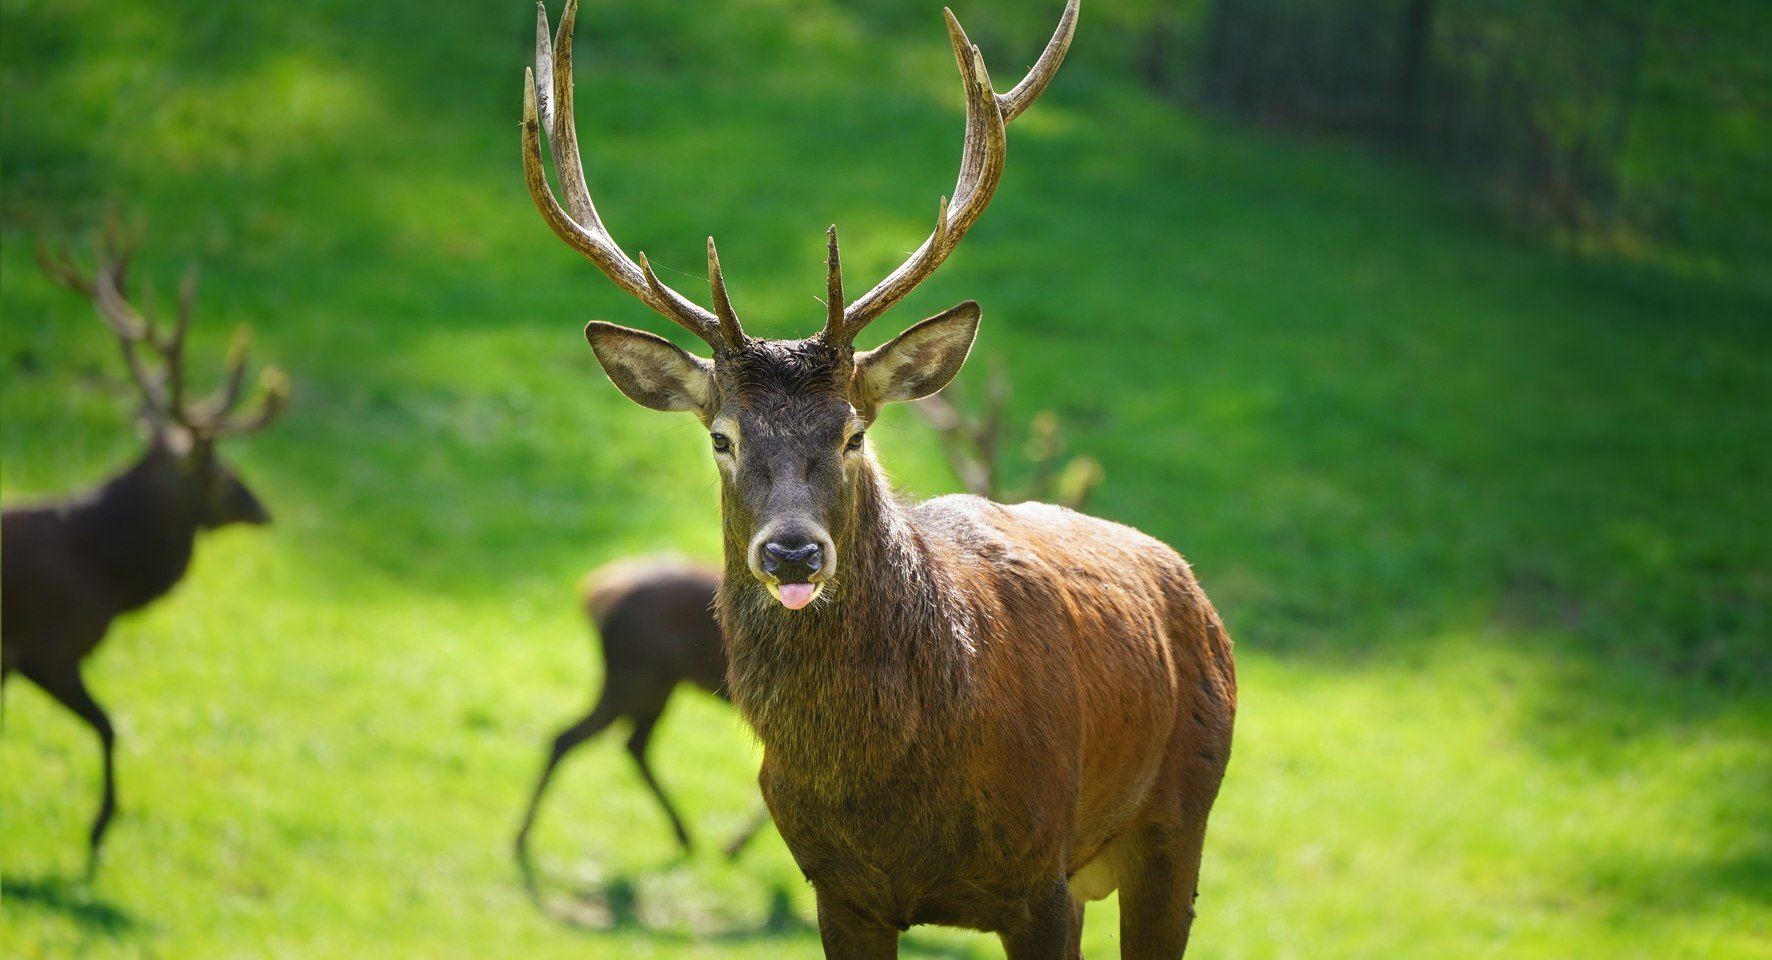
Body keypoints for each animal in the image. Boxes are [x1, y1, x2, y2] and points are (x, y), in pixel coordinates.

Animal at [2, 224, 287, 871]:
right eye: (219, 472)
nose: (263, 509)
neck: (109, 576)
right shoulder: (47, 649)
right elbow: (110, 726)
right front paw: (97, 829)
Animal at [517, 0, 1233, 956]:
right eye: (721, 437)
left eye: (854, 431)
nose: (791, 554)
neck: (892, 791)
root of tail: (1189, 587)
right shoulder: (838, 889)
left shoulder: (1039, 877)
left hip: (1179, 819)